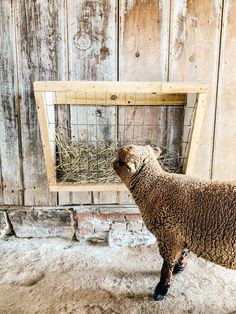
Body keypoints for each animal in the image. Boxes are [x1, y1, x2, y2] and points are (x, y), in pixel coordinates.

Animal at [113, 146, 236, 300]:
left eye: (121, 161)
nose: (112, 160)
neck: (154, 186)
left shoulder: (169, 235)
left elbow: (166, 265)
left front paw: (161, 289)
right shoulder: (183, 234)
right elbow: (183, 254)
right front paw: (180, 267)